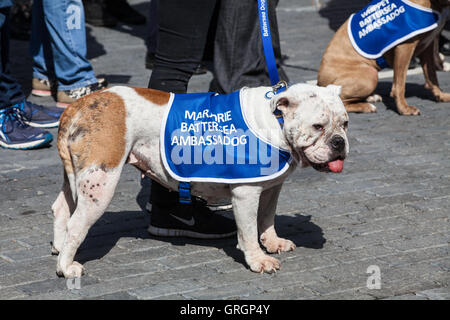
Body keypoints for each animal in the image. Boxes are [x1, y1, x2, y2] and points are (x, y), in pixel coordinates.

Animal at [51, 84, 348, 278]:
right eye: (318, 126)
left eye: (344, 124)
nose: (339, 142)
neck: (276, 119)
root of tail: (77, 106)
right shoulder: (246, 192)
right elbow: (248, 231)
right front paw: (257, 260)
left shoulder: (271, 188)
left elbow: (266, 219)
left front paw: (273, 243)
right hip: (101, 183)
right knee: (77, 224)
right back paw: (67, 267)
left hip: (76, 177)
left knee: (62, 209)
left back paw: (59, 247)